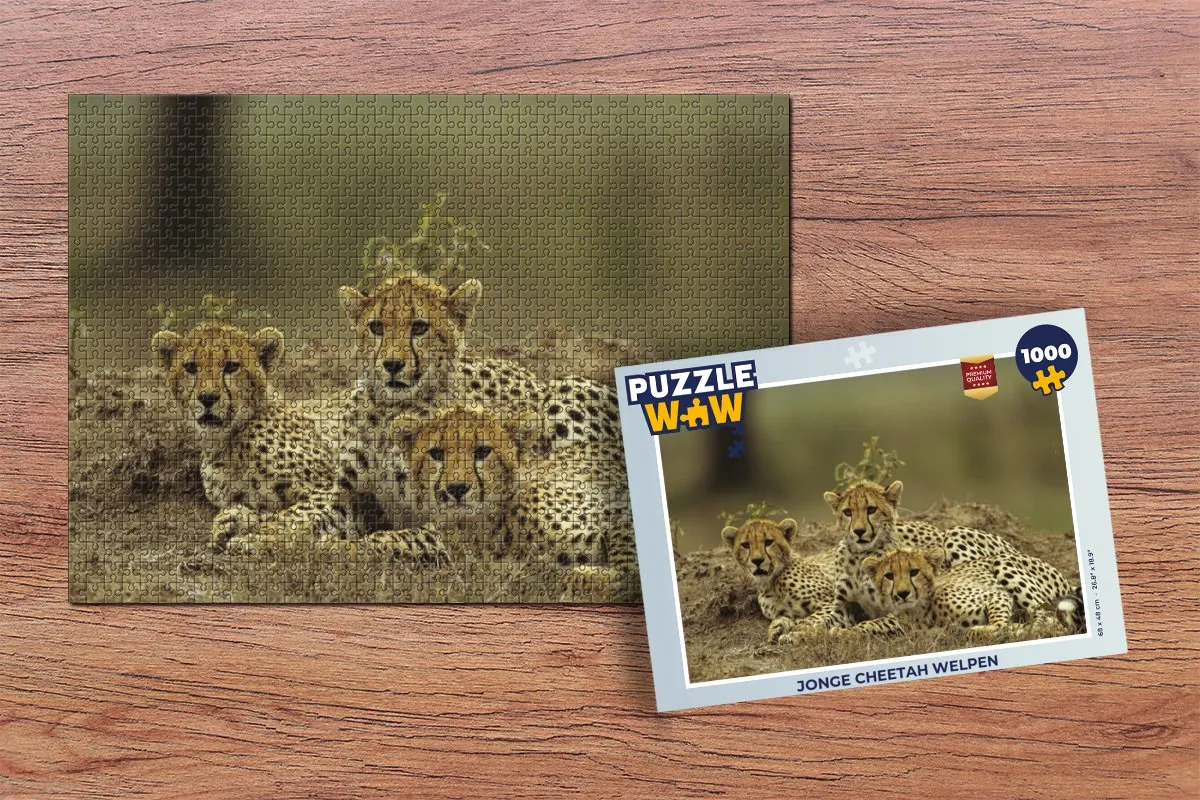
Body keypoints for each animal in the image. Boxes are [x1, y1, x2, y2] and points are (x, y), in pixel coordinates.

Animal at [151, 322, 445, 562]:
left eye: (232, 366)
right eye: (190, 367)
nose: (208, 398)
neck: (228, 441)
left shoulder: (330, 489)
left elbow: (291, 517)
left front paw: (257, 538)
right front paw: (235, 521)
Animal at [777, 479, 1025, 642]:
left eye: (871, 509)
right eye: (847, 512)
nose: (859, 531)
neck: (860, 557)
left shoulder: (896, 609)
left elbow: (870, 623)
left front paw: (843, 633)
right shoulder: (844, 604)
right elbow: (822, 619)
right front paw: (798, 633)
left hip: (954, 536)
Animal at [864, 545, 1082, 638]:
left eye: (914, 572)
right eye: (889, 576)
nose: (902, 594)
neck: (918, 610)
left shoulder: (996, 596)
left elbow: (995, 625)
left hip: (1002, 563)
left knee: (1052, 621)